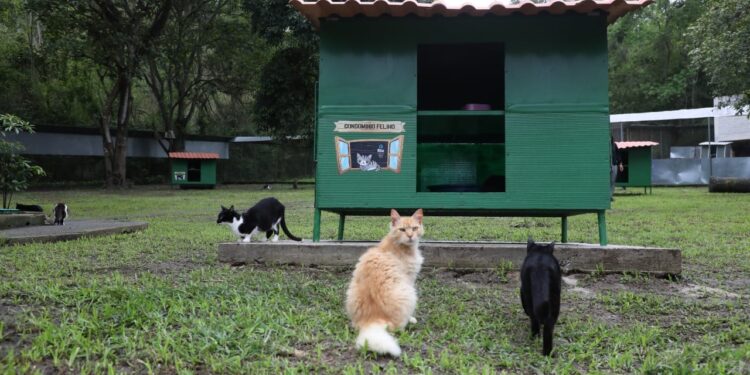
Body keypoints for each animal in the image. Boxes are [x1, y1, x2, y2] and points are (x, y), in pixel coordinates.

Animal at [346, 210, 424, 356]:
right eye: (402, 230)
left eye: (414, 228)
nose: (410, 236)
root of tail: (372, 319)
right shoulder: (409, 279)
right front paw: (412, 318)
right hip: (410, 293)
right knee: (397, 327)